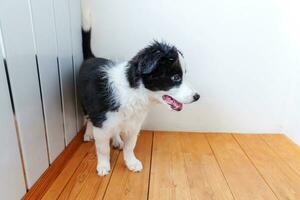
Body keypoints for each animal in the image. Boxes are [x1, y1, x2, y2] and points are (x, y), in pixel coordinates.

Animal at [78, 0, 199, 176]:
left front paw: (131, 162)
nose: (197, 97)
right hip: (84, 102)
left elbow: (130, 146)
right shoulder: (101, 123)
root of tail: (90, 58)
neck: (134, 91)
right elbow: (102, 149)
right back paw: (88, 134)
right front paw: (103, 166)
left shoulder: (134, 125)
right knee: (87, 118)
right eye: (176, 77)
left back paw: (117, 140)